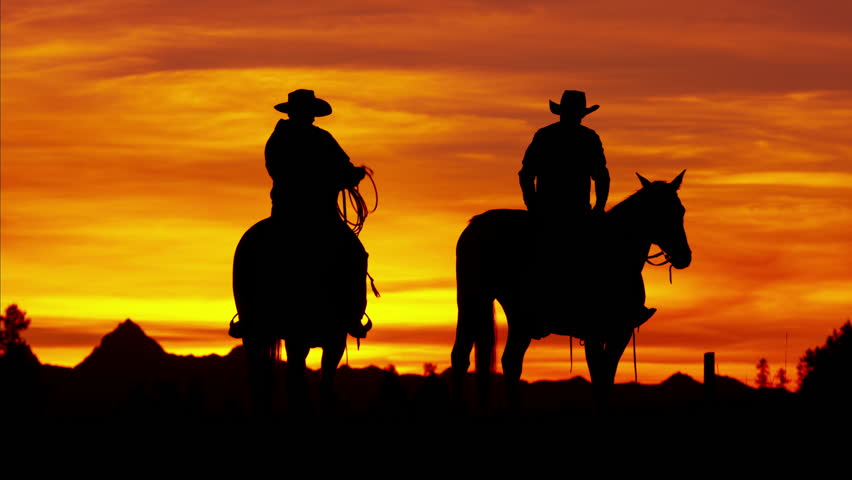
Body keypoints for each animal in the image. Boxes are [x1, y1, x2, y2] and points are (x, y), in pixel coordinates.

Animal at [450, 172, 688, 412]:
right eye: (659, 212)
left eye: (681, 211)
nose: (684, 256)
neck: (616, 253)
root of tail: (475, 224)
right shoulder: (594, 332)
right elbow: (599, 378)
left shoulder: (620, 332)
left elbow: (606, 378)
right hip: (472, 300)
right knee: (461, 356)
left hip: (518, 316)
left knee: (510, 360)